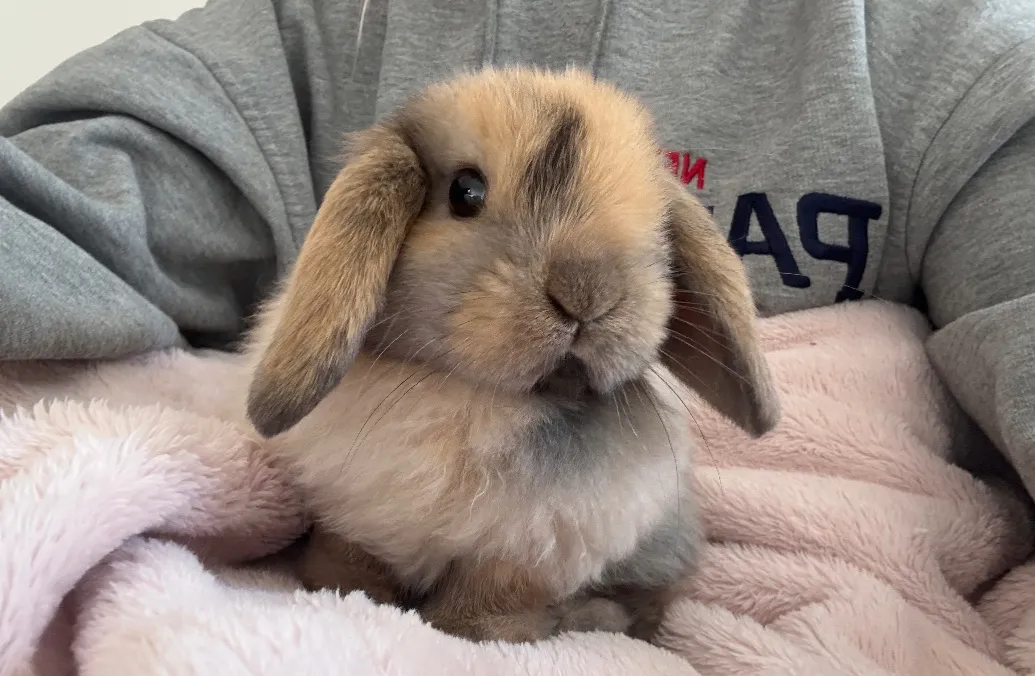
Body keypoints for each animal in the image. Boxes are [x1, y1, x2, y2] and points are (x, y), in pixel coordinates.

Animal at [239, 65, 779, 644]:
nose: (587, 293)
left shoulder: (534, 547)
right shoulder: (358, 514)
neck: (475, 400)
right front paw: (342, 591)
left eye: (655, 221)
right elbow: (354, 560)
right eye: (465, 191)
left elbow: (491, 595)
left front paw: (473, 631)